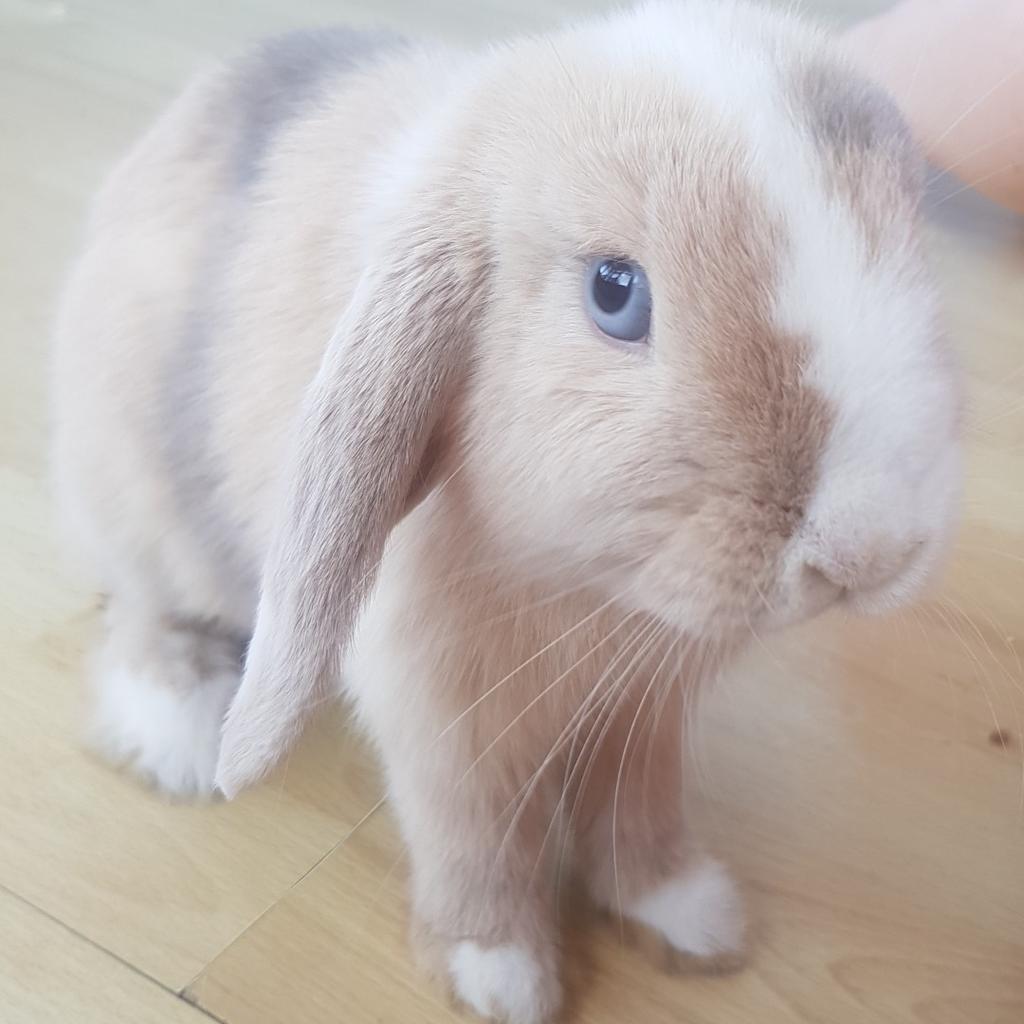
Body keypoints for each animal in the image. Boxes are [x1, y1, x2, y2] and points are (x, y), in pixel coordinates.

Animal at [51, 2, 963, 1021]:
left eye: (908, 239)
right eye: (615, 292)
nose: (868, 551)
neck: (596, 595)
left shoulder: (645, 715)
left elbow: (638, 806)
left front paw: (689, 917)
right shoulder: (442, 720)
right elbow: (474, 833)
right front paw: (499, 974)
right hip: (137, 507)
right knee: (143, 608)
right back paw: (177, 732)